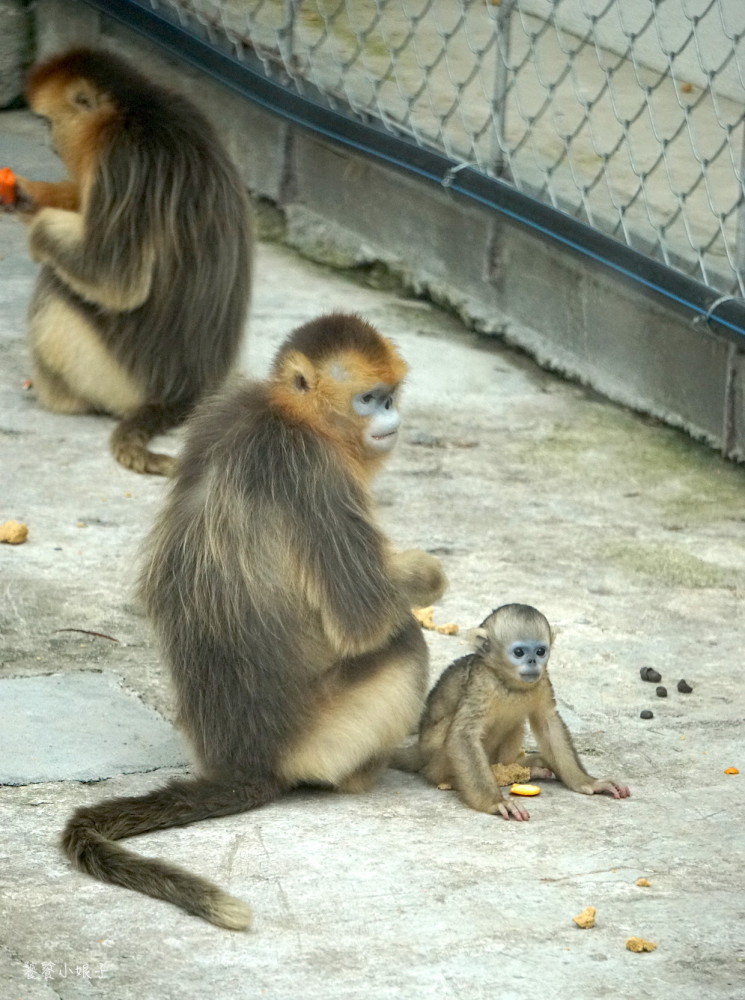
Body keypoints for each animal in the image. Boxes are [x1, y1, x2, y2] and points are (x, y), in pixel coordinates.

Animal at [9, 49, 253, 476]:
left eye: (50, 122)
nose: (49, 139)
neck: (134, 109)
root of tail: (182, 393)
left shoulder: (120, 159)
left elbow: (115, 278)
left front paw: (37, 231)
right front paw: (27, 196)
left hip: (119, 377)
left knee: (55, 283)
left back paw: (59, 397)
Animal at [61, 312, 444, 928]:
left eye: (390, 396)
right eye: (369, 399)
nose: (391, 416)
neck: (288, 413)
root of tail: (248, 763)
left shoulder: (218, 414)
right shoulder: (313, 470)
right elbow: (364, 620)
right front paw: (429, 576)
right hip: (328, 733)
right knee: (407, 645)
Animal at [392, 604, 632, 816]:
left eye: (540, 651)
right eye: (519, 652)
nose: (533, 661)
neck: (508, 684)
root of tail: (419, 750)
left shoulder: (542, 682)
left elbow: (549, 724)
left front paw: (588, 782)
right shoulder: (481, 684)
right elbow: (463, 735)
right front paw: (494, 803)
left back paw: (525, 767)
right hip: (433, 754)